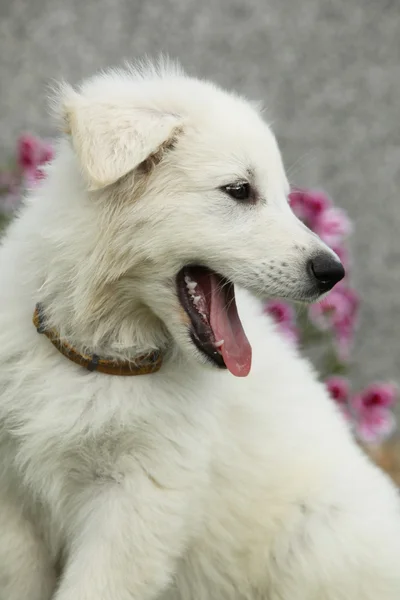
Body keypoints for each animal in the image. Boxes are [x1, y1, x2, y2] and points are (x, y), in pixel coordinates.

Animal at [0, 59, 400, 600]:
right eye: (239, 191)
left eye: (285, 199)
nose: (332, 272)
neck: (96, 357)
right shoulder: (14, 504)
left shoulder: (139, 500)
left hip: (317, 538)